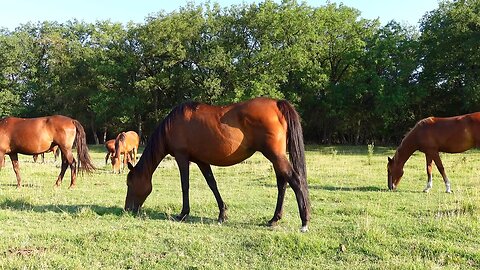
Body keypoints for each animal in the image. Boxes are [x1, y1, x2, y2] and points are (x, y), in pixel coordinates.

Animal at [124, 97, 312, 232]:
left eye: (130, 183)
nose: (127, 209)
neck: (172, 126)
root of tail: (277, 104)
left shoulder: (182, 157)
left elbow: (185, 185)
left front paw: (183, 214)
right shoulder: (201, 161)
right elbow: (212, 184)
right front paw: (222, 214)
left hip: (275, 156)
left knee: (295, 180)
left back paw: (304, 221)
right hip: (276, 157)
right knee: (282, 183)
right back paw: (274, 219)